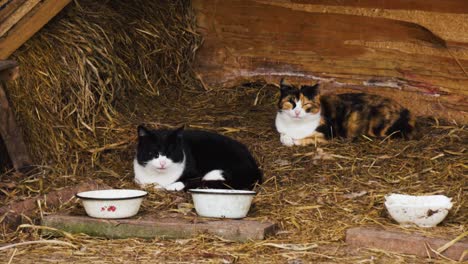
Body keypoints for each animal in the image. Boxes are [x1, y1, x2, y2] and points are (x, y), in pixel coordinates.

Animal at [133, 125, 262, 191]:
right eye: (154, 153)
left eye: (170, 153)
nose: (162, 163)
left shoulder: (196, 174)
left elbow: (190, 181)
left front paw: (171, 186)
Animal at [274, 79, 416, 146]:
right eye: (291, 101)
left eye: (306, 104)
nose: (297, 112)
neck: (295, 125)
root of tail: (406, 110)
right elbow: (282, 134)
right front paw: (287, 139)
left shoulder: (328, 133)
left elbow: (308, 138)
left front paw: (294, 141)